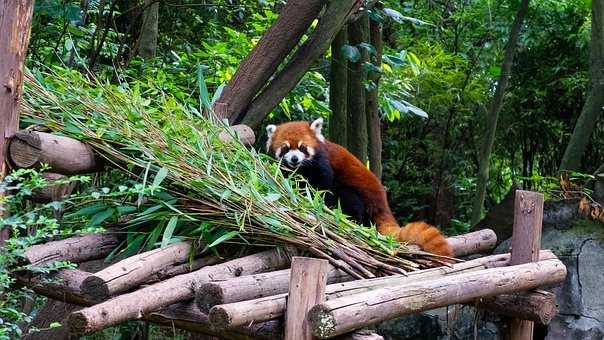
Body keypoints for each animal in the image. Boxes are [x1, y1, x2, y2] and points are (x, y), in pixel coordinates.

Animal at [266, 118, 452, 256]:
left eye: (302, 147)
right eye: (285, 148)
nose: (294, 159)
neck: (301, 168)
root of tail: (382, 204)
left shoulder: (322, 164)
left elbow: (322, 186)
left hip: (356, 195)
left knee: (347, 198)